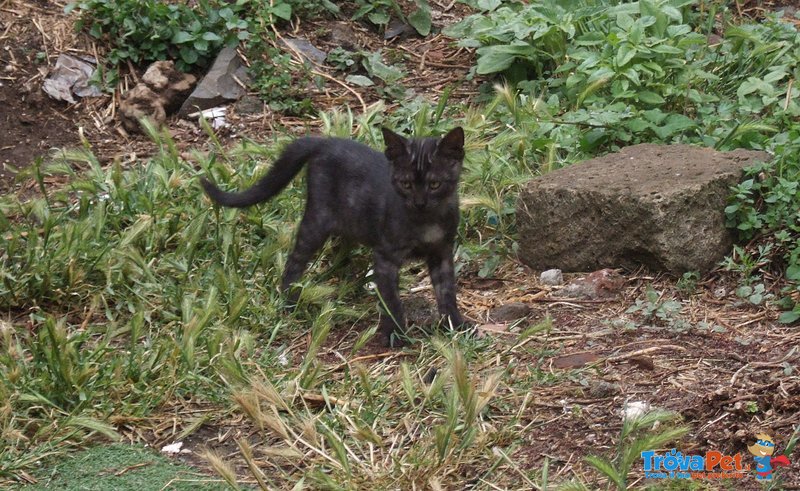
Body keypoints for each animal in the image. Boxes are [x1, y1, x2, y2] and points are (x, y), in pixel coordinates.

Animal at [200, 129, 472, 348]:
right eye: (405, 184)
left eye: (435, 184)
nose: (419, 202)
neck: (426, 222)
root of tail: (325, 141)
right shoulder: (386, 256)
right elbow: (391, 299)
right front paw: (395, 334)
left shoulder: (442, 252)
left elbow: (447, 291)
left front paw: (455, 325)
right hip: (317, 221)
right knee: (294, 262)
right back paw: (290, 302)